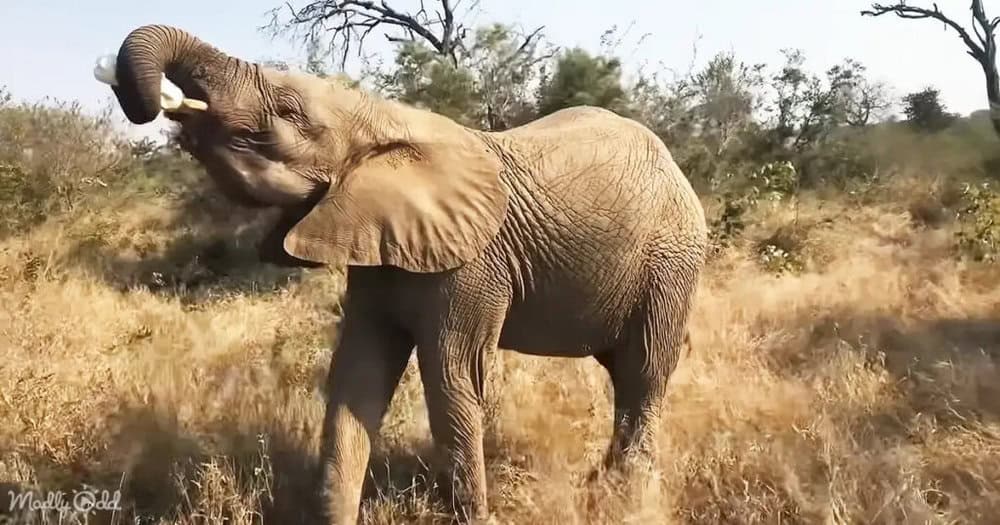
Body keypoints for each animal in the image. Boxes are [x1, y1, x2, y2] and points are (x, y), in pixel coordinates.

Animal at [104, 24, 709, 524]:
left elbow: (452, 380)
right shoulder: (377, 254)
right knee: (626, 375)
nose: (156, 102)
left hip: (672, 261)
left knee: (644, 371)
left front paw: (475, 518)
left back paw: (624, 497)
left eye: (289, 110)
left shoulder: (471, 262)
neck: (384, 120)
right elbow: (357, 376)